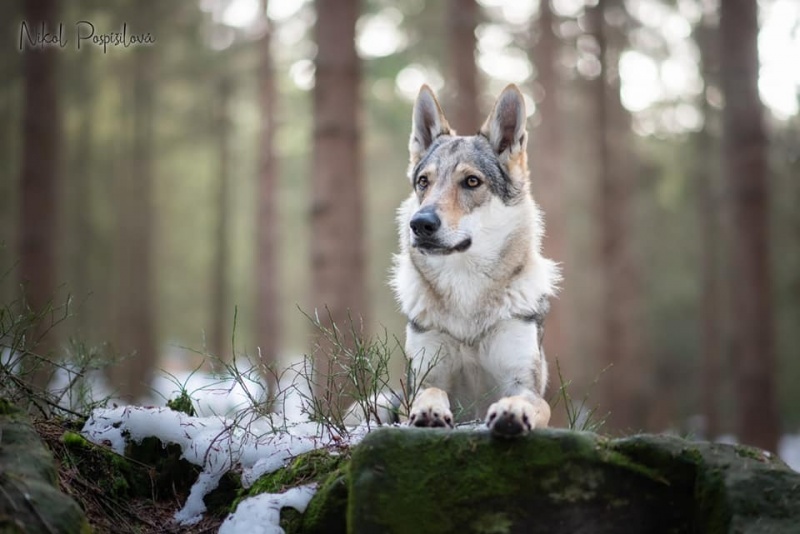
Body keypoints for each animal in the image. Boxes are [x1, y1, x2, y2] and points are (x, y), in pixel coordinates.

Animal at [392, 82, 556, 436]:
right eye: (423, 182)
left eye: (471, 181)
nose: (420, 224)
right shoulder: (423, 377)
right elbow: (431, 390)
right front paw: (430, 411)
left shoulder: (524, 383)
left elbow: (525, 399)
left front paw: (511, 412)